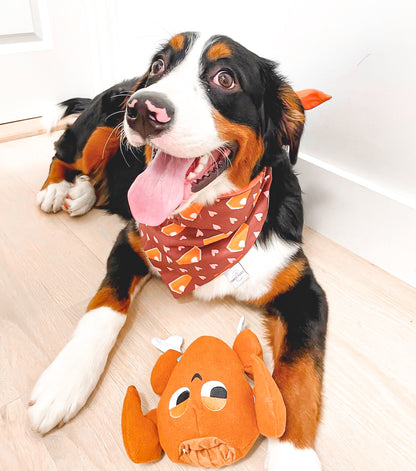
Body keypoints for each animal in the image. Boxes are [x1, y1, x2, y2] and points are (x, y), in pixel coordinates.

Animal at [29, 31, 328, 470]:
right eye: (158, 66)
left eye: (225, 78)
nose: (143, 109)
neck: (206, 228)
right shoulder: (130, 244)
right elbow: (102, 311)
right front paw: (64, 381)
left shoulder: (303, 290)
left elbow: (299, 374)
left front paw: (292, 455)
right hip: (99, 128)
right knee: (62, 153)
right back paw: (56, 189)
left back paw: (81, 194)